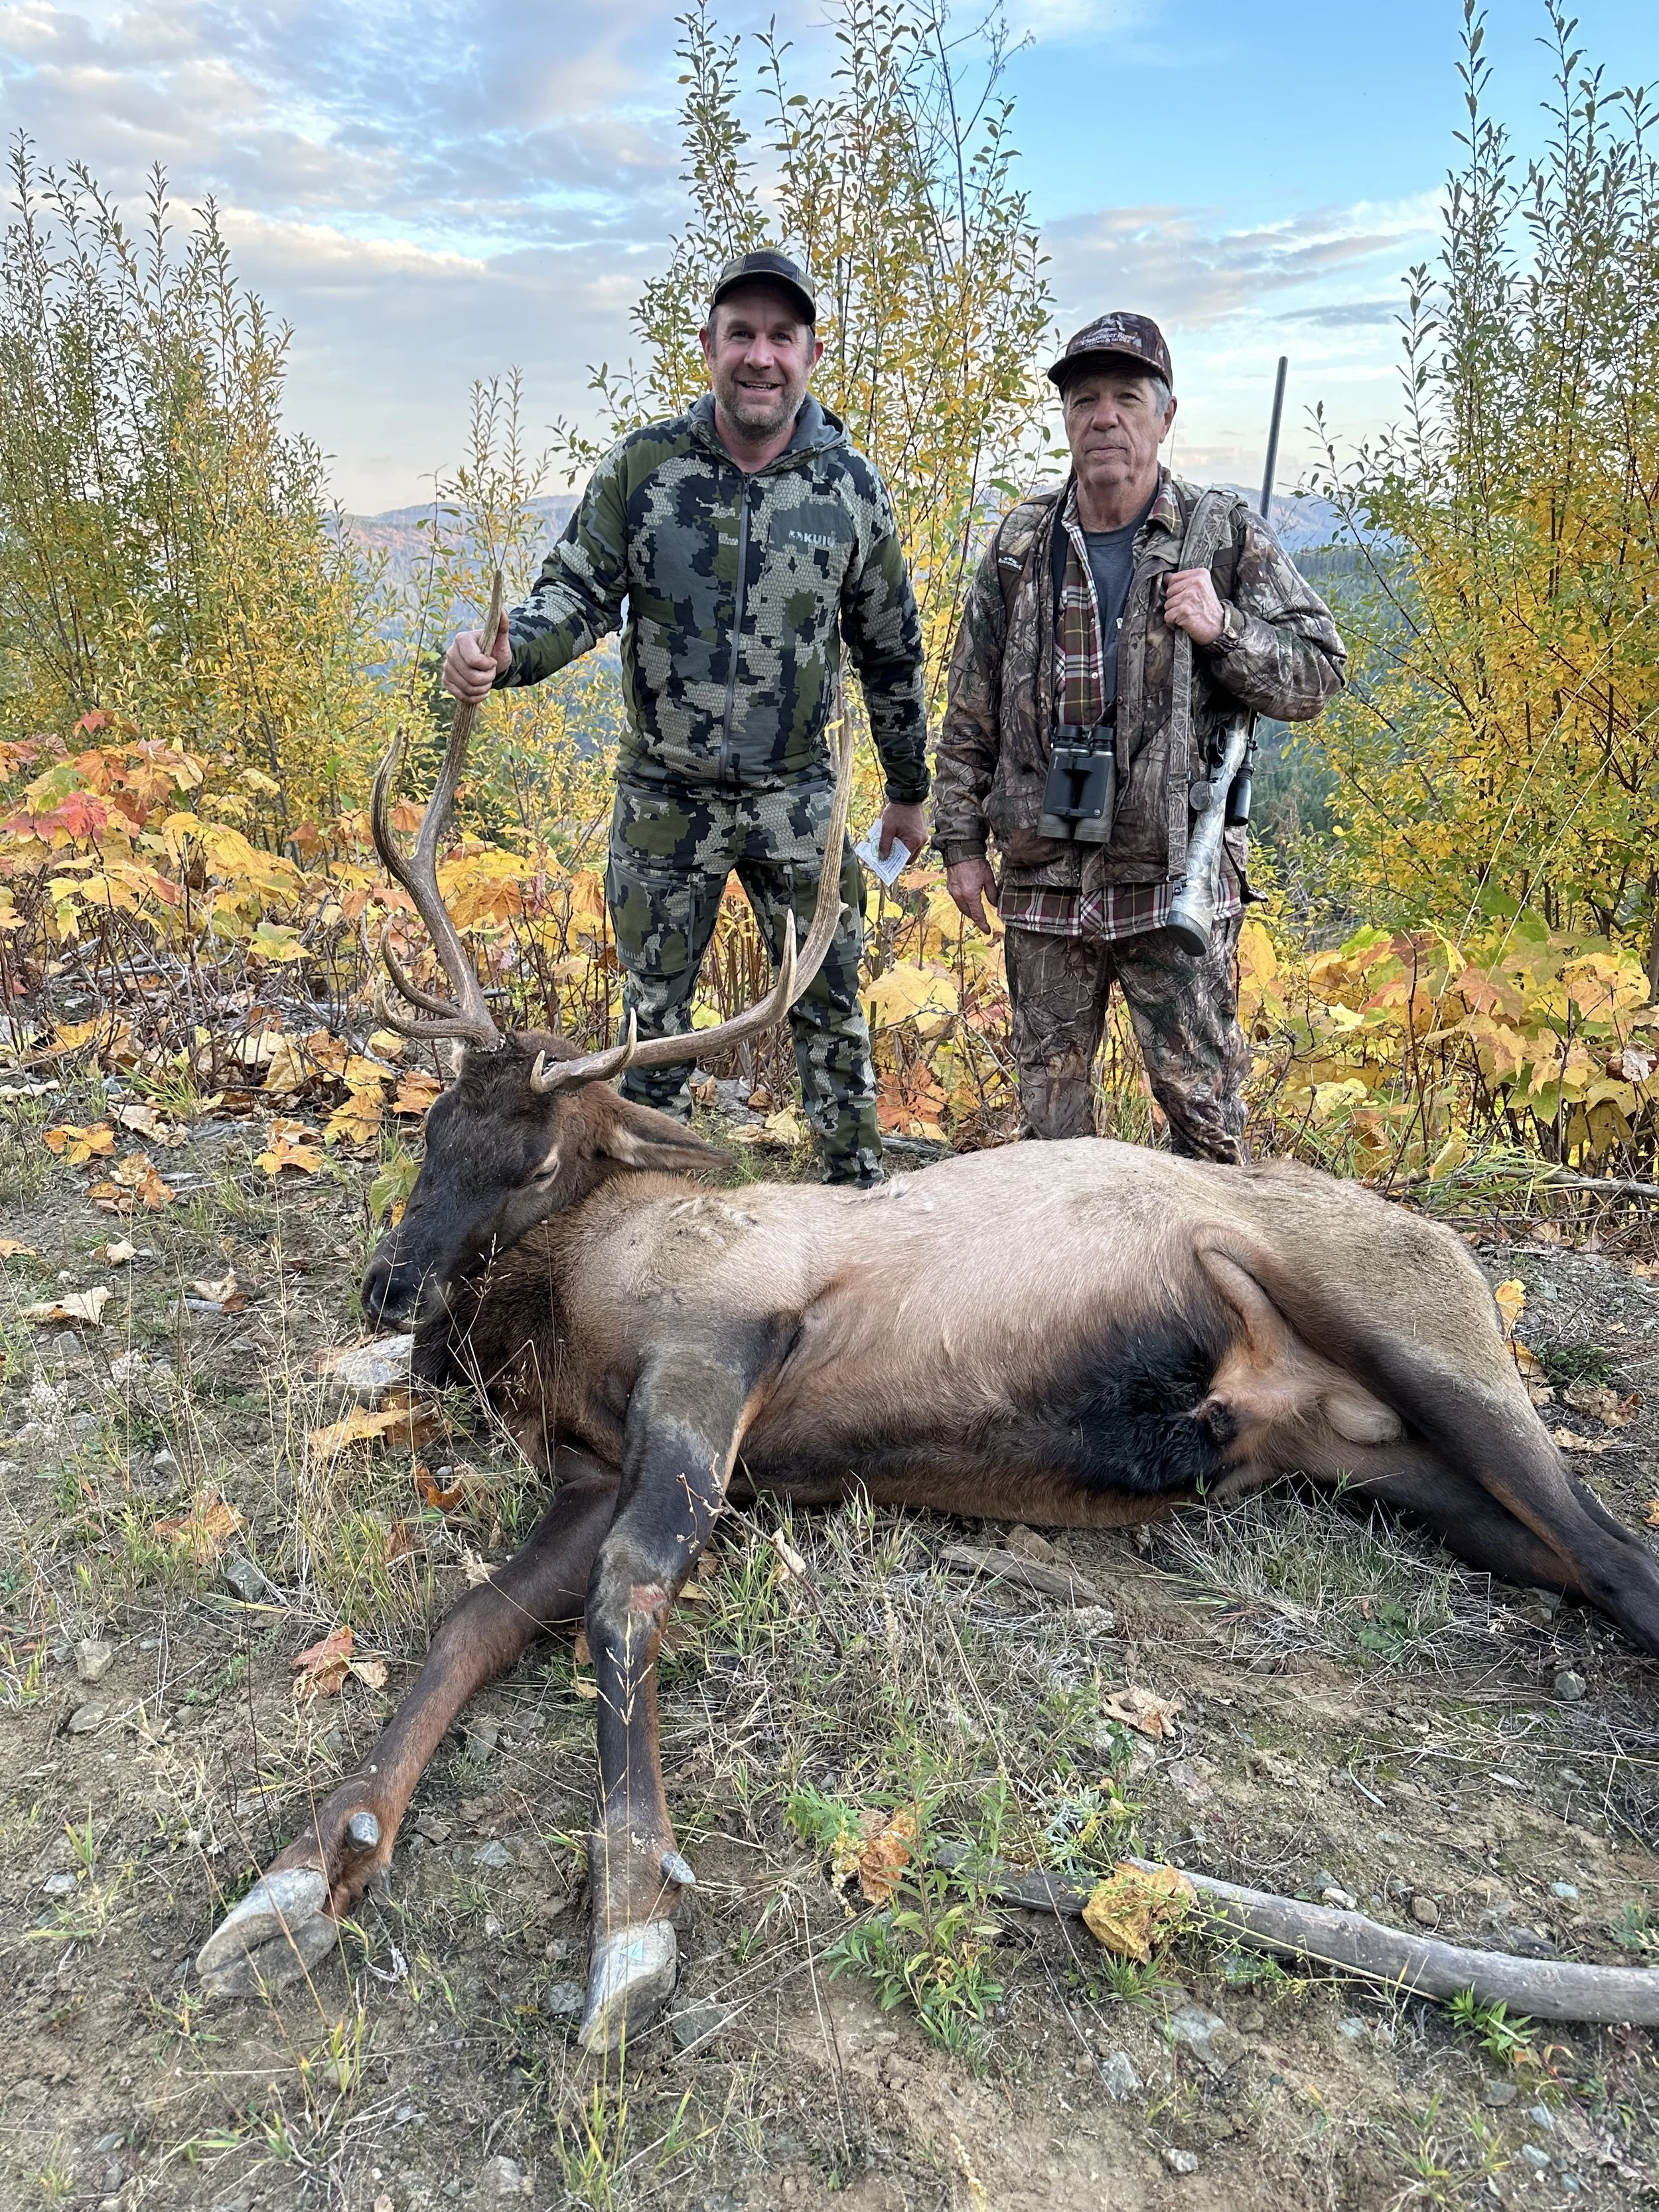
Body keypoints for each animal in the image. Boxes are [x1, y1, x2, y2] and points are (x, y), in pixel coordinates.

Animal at [195, 618, 1659, 2052]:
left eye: (540, 1159)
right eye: (435, 1124)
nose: (391, 1289)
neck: (565, 1310)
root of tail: (1456, 1257)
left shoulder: (720, 1346)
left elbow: (628, 1593)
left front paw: (631, 1918)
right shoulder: (592, 1461)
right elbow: (469, 1623)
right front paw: (302, 1873)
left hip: (1425, 1336)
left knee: (1614, 1552)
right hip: (1381, 1464)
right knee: (1574, 1558)